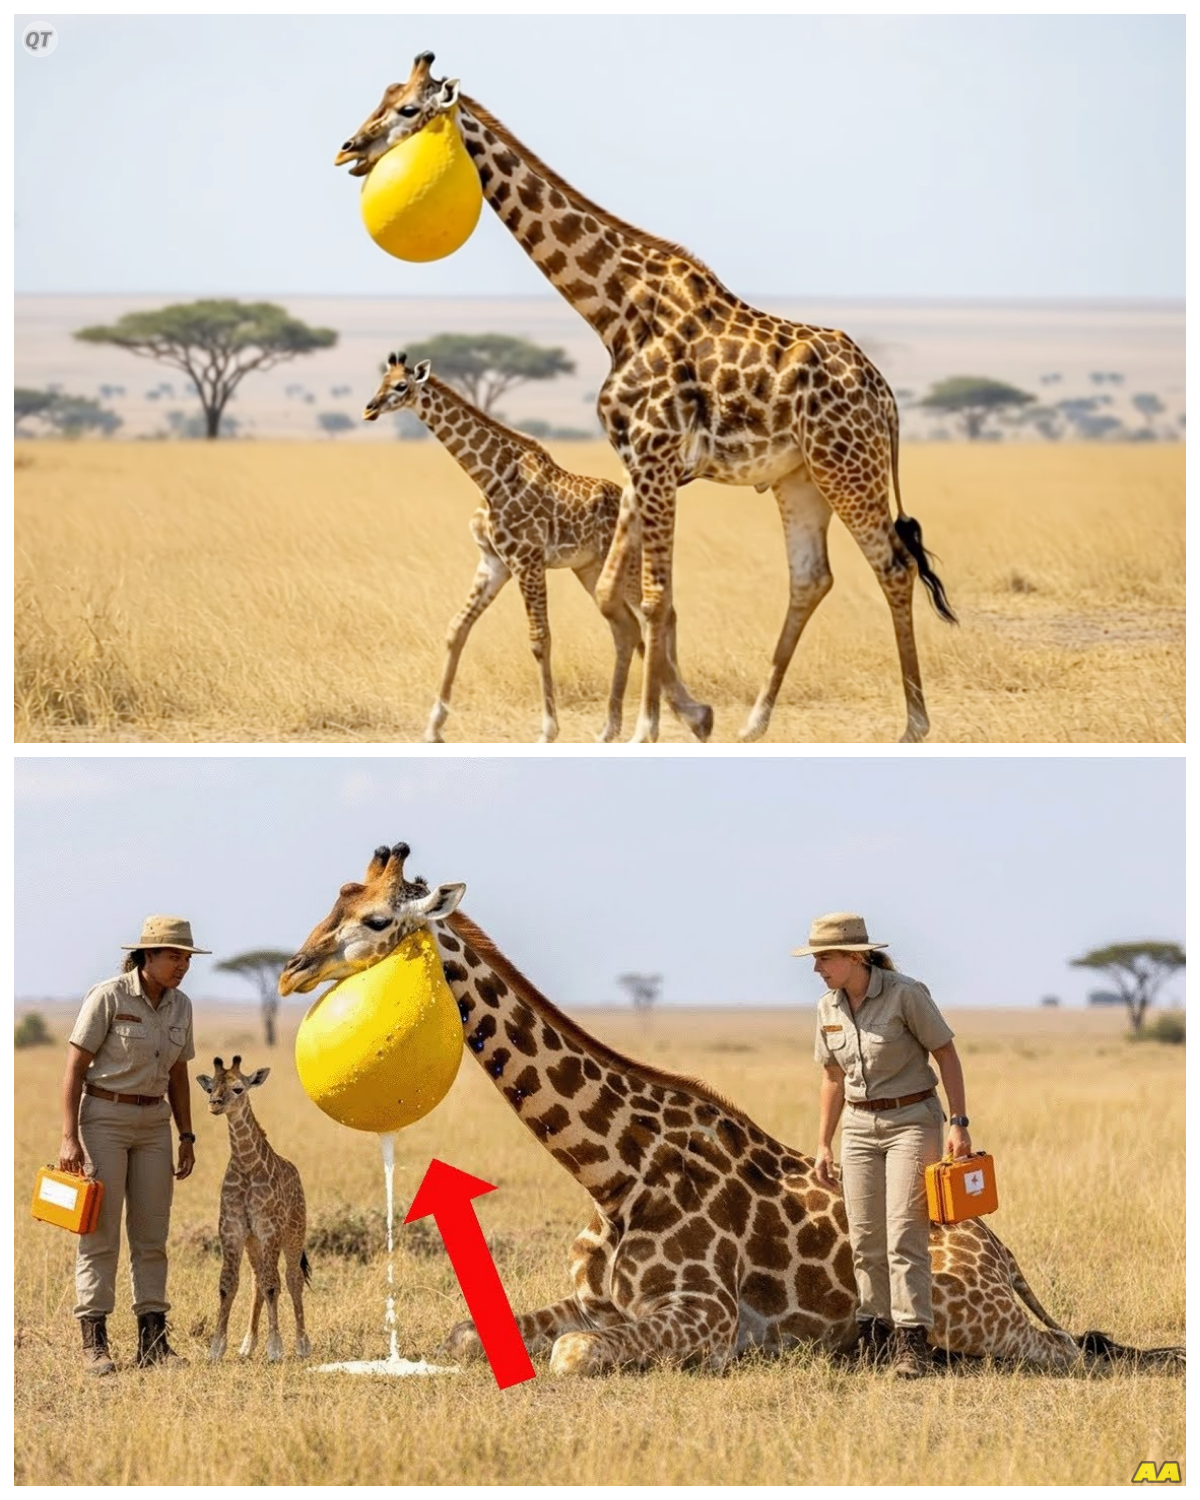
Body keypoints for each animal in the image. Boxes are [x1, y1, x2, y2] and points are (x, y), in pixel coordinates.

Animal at [197, 1056, 312, 1363]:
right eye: (210, 1087)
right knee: (257, 1280)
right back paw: (248, 1344)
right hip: (253, 1243)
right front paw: (216, 1349)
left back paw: (302, 1344)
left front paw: (275, 1348)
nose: (214, 1104)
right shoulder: (233, 1229)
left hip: (294, 1231)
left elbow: (274, 1285)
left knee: (292, 1278)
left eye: (238, 1088)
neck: (247, 1164)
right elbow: (228, 1285)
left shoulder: (269, 1228)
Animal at [278, 844, 1180, 1377]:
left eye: (375, 918)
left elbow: (571, 1355)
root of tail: (998, 1248)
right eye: (333, 902)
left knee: (1067, 1349)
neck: (613, 1170)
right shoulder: (604, 1300)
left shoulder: (706, 1316)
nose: (290, 970)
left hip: (976, 1313)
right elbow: (467, 1334)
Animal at [363, 353, 712, 744]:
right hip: (590, 568)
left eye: (400, 386)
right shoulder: (494, 562)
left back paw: (688, 716)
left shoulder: (527, 561)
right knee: (627, 629)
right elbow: (457, 629)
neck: (491, 478)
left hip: (626, 563)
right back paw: (623, 726)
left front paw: (548, 731)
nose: (370, 408)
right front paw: (434, 727)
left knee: (661, 614)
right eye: (380, 382)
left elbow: (539, 640)